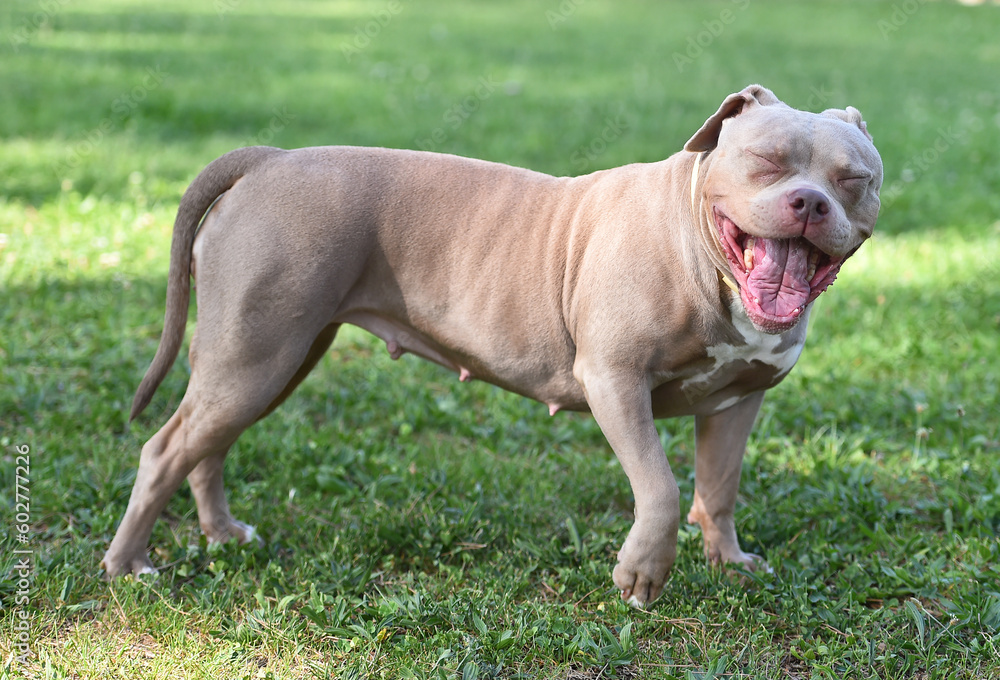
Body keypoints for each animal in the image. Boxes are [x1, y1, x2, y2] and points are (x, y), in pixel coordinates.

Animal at [103, 83, 884, 604]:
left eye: (854, 178)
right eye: (766, 160)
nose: (810, 203)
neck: (700, 250)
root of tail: (270, 159)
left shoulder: (736, 404)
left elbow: (716, 490)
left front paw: (727, 560)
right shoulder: (615, 380)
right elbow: (662, 489)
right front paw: (642, 574)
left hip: (271, 360)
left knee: (206, 445)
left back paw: (220, 534)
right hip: (257, 356)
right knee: (165, 449)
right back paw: (127, 564)